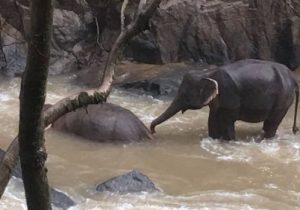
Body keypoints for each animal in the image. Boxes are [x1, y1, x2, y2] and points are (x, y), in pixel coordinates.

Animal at [151, 59, 298, 140]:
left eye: (184, 94)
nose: (153, 131)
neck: (207, 73)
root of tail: (293, 79)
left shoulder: (229, 96)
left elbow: (227, 123)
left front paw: (229, 141)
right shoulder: (217, 101)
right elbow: (212, 120)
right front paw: (213, 138)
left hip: (283, 99)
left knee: (272, 123)